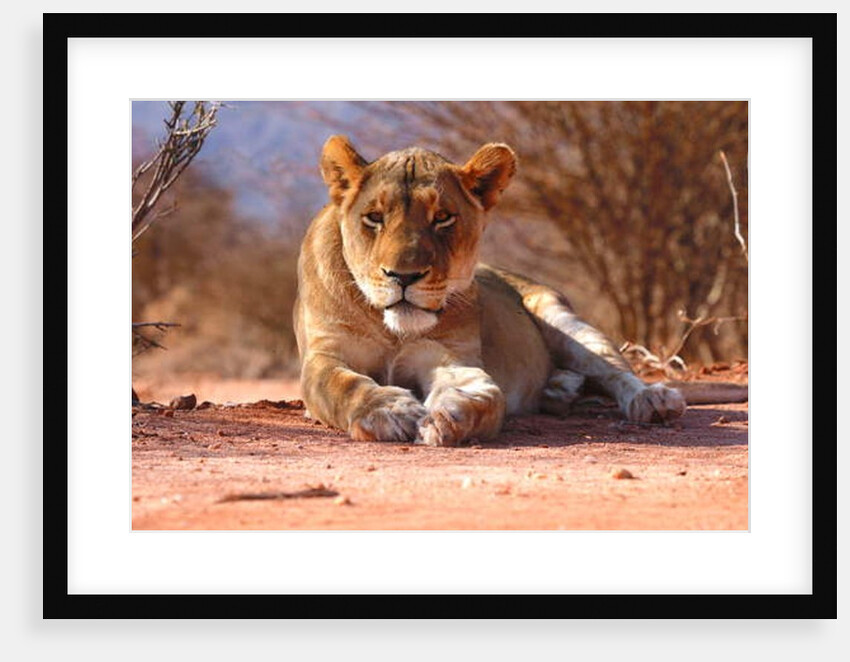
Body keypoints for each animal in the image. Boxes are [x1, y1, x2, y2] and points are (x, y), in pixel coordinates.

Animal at [294, 136, 704, 446]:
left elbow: (485, 394)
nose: (403, 276)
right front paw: (389, 410)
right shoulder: (324, 355)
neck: (392, 329)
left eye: (443, 218)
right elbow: (344, 385)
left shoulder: (450, 356)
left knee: (615, 370)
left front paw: (447, 415)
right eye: (374, 218)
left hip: (562, 319)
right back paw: (559, 391)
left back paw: (652, 399)